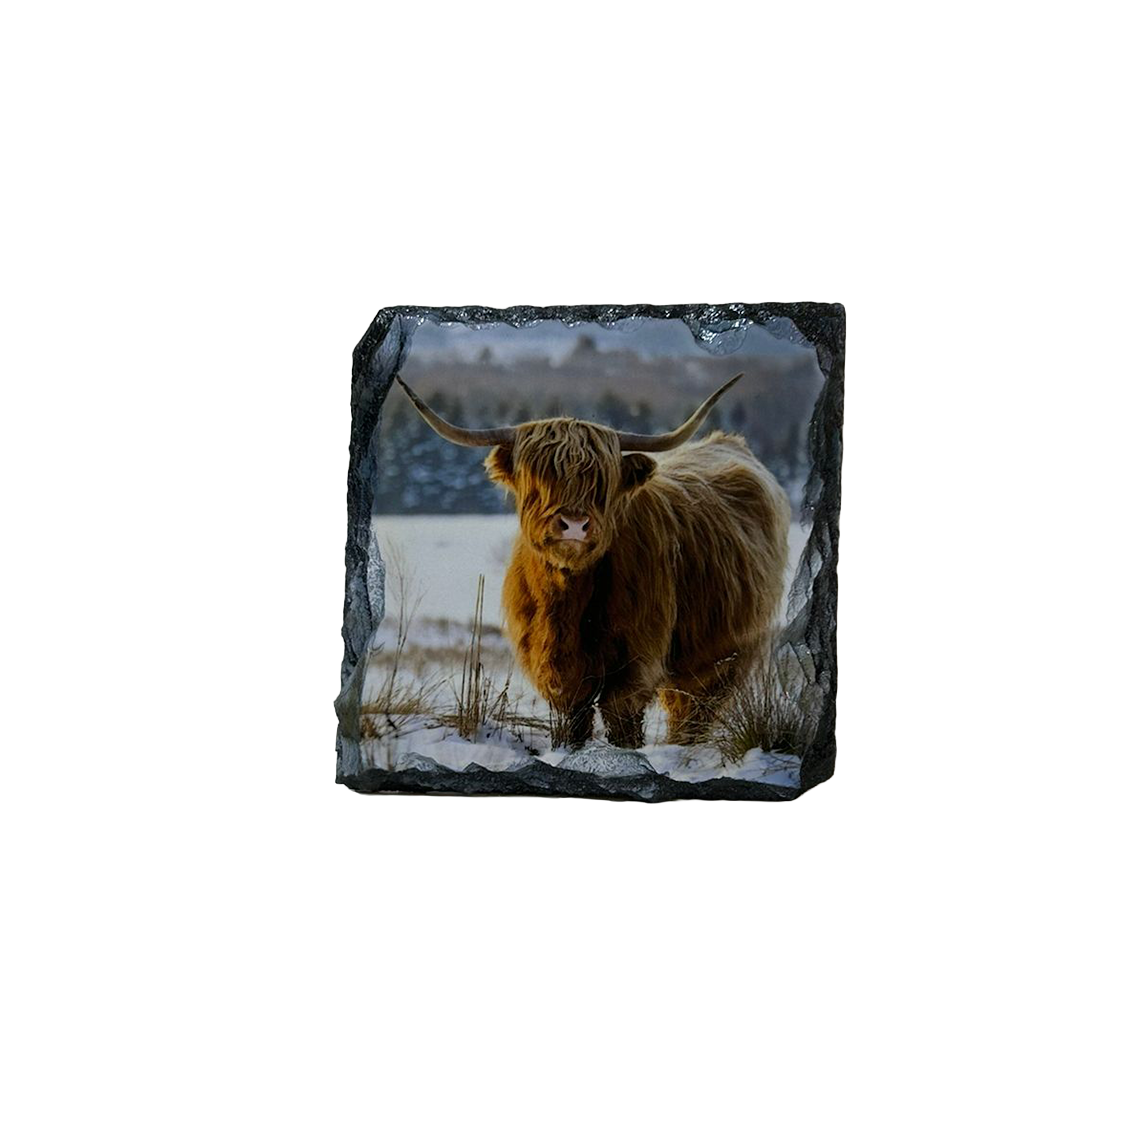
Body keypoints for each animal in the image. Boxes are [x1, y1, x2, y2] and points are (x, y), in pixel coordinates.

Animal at [395, 373, 791, 749]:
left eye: (601, 481)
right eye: (539, 476)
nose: (574, 524)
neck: (566, 600)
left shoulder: (636, 659)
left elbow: (621, 717)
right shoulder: (553, 664)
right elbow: (574, 717)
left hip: (726, 655)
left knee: (693, 711)